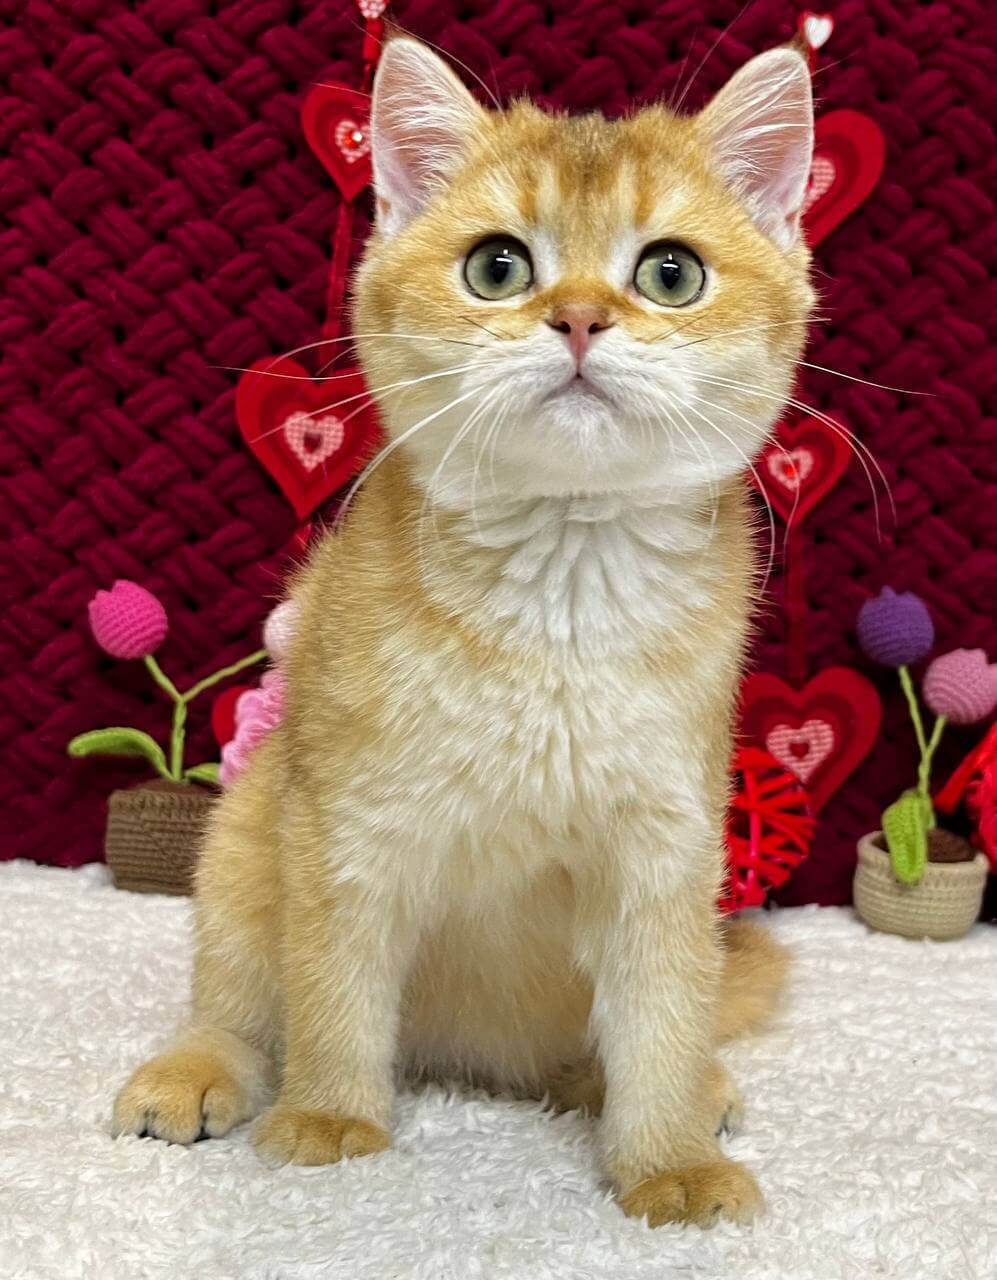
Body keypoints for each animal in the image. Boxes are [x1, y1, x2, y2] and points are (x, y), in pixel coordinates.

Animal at [112, 36, 814, 1228]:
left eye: (669, 274)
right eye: (497, 266)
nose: (577, 319)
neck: (557, 598)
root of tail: (475, 1058)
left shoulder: (668, 840)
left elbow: (665, 1012)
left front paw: (667, 1158)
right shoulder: (342, 818)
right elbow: (334, 978)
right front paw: (330, 1119)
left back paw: (647, 1087)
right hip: (245, 824)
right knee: (239, 998)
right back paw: (198, 1071)